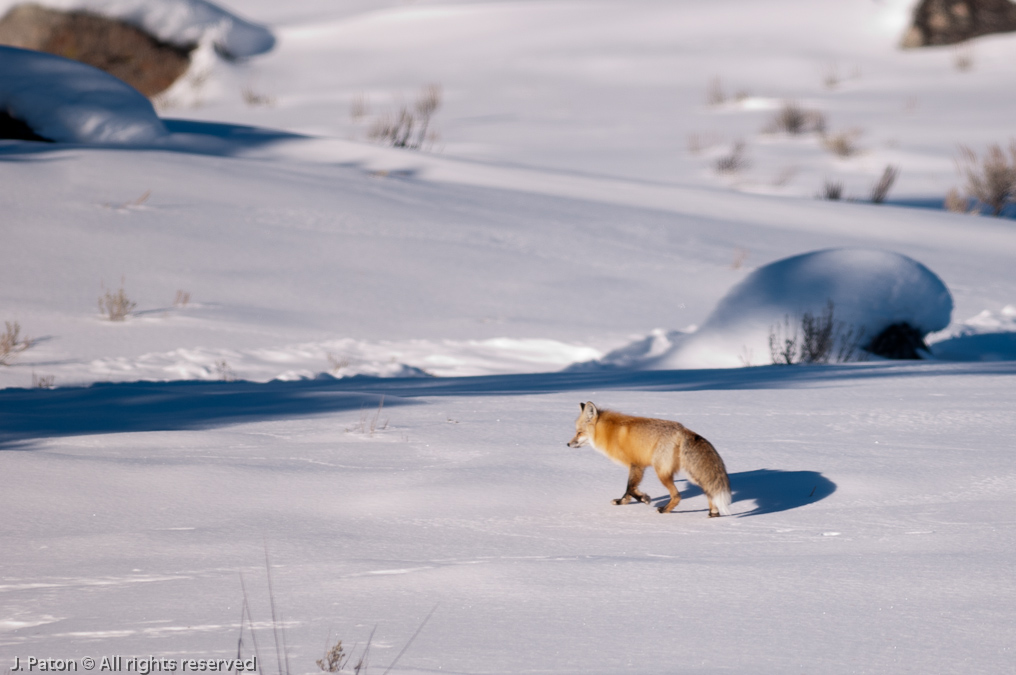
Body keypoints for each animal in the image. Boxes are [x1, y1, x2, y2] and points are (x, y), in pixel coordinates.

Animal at [567, 402, 732, 517]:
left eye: (579, 432)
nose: (567, 444)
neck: (610, 432)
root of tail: (683, 430)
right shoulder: (636, 466)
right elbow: (628, 490)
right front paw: (622, 502)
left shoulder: (636, 464)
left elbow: (630, 488)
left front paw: (644, 499)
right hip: (690, 473)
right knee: (708, 490)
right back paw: (713, 513)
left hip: (662, 473)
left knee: (677, 496)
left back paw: (664, 510)